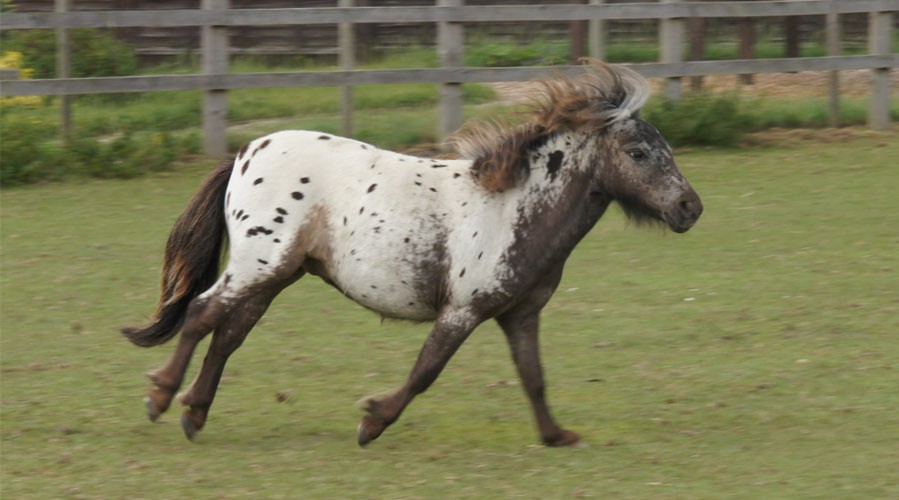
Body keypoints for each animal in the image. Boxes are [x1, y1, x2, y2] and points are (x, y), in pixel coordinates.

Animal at [125, 60, 704, 448]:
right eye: (638, 152)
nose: (690, 207)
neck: (513, 205)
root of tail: (246, 152)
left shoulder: (519, 314)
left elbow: (533, 376)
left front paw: (557, 435)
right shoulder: (464, 310)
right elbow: (427, 370)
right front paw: (371, 421)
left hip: (275, 275)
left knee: (227, 334)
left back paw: (194, 413)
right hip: (257, 264)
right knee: (202, 313)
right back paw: (162, 399)